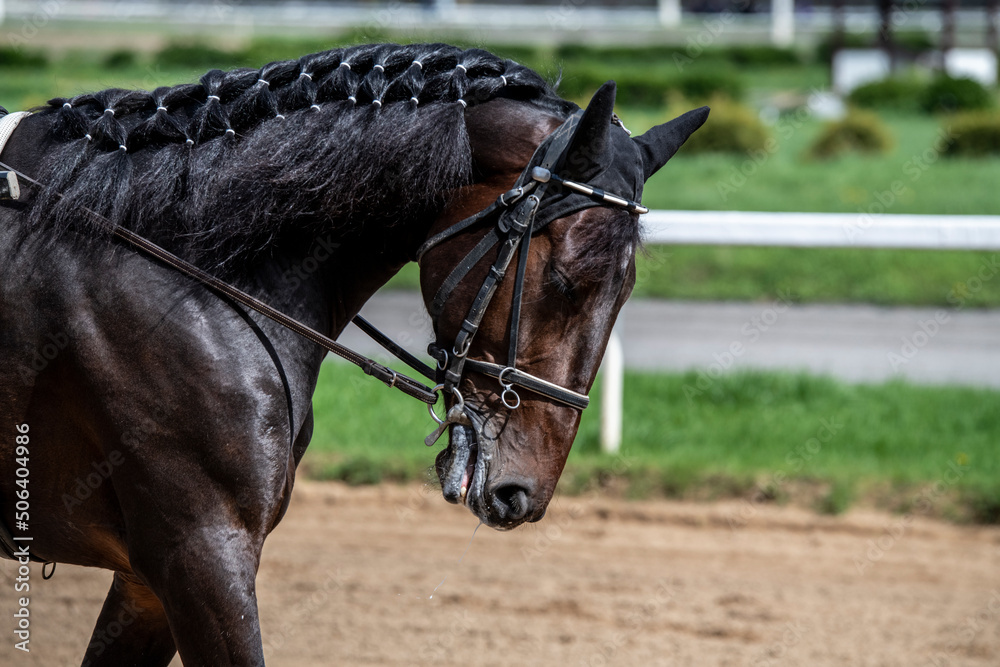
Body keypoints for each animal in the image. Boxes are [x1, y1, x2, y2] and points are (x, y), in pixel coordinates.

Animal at [0, 42, 706, 665]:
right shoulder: (199, 555)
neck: (186, 268)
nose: (521, 491)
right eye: (565, 280)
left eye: (624, 289)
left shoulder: (149, 581)